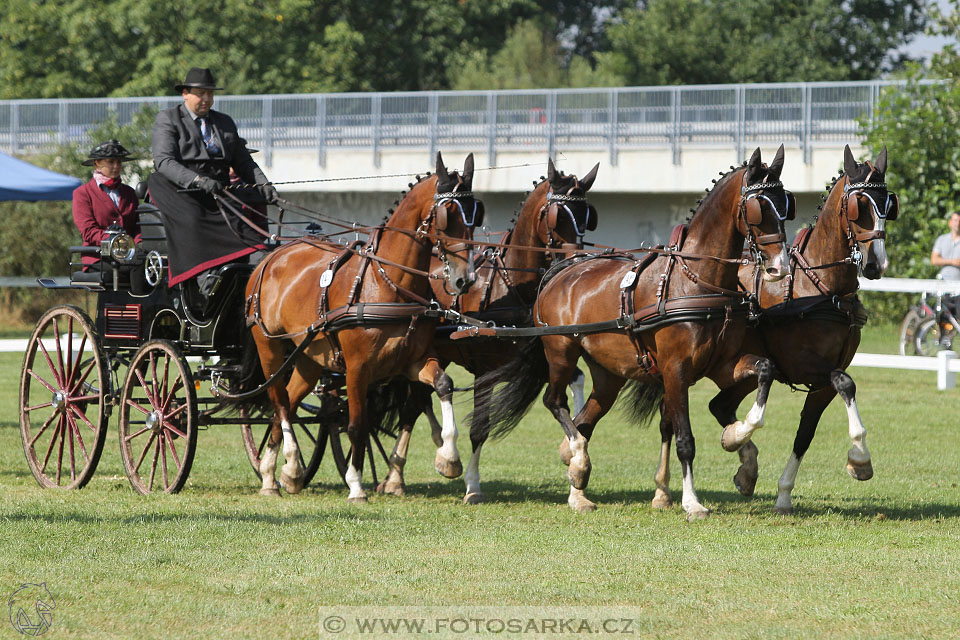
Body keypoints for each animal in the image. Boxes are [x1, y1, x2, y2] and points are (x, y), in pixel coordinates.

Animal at [242, 154, 478, 500]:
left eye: (476, 214)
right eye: (448, 216)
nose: (466, 279)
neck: (387, 282)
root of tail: (271, 256)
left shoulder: (412, 361)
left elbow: (443, 385)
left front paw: (448, 457)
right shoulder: (357, 368)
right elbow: (356, 425)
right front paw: (355, 483)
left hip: (309, 359)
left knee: (287, 400)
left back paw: (278, 473)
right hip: (269, 348)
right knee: (281, 403)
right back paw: (287, 465)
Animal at [376, 158, 600, 502]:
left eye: (588, 216)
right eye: (558, 215)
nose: (577, 260)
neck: (512, 287)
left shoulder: (543, 358)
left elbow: (575, 384)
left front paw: (572, 454)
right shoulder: (484, 372)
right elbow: (479, 428)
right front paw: (472, 486)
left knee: (415, 403)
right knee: (412, 407)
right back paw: (400, 474)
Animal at [476, 146, 792, 520]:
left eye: (785, 205)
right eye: (758, 207)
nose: (780, 267)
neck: (696, 279)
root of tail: (560, 269)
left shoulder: (721, 365)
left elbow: (765, 370)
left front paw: (738, 444)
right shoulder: (675, 370)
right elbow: (685, 439)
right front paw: (692, 501)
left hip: (608, 375)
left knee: (584, 420)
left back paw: (577, 487)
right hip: (561, 352)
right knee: (555, 402)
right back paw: (577, 460)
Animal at [696, 145, 892, 516]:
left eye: (888, 204)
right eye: (859, 204)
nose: (876, 264)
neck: (820, 285)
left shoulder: (822, 381)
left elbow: (806, 432)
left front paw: (785, 492)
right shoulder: (804, 364)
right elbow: (846, 383)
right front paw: (859, 459)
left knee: (718, 406)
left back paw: (744, 462)